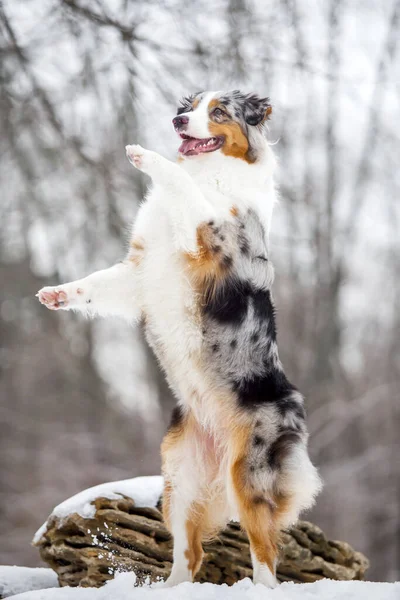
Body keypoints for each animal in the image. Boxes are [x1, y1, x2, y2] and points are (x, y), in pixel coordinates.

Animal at [37, 91, 322, 588]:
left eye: (219, 111)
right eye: (188, 105)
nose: (178, 121)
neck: (210, 170)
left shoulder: (207, 233)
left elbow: (182, 186)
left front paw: (143, 155)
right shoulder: (138, 276)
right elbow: (94, 285)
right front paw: (56, 294)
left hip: (249, 475)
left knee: (266, 549)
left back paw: (262, 588)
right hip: (179, 478)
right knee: (190, 553)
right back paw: (170, 588)